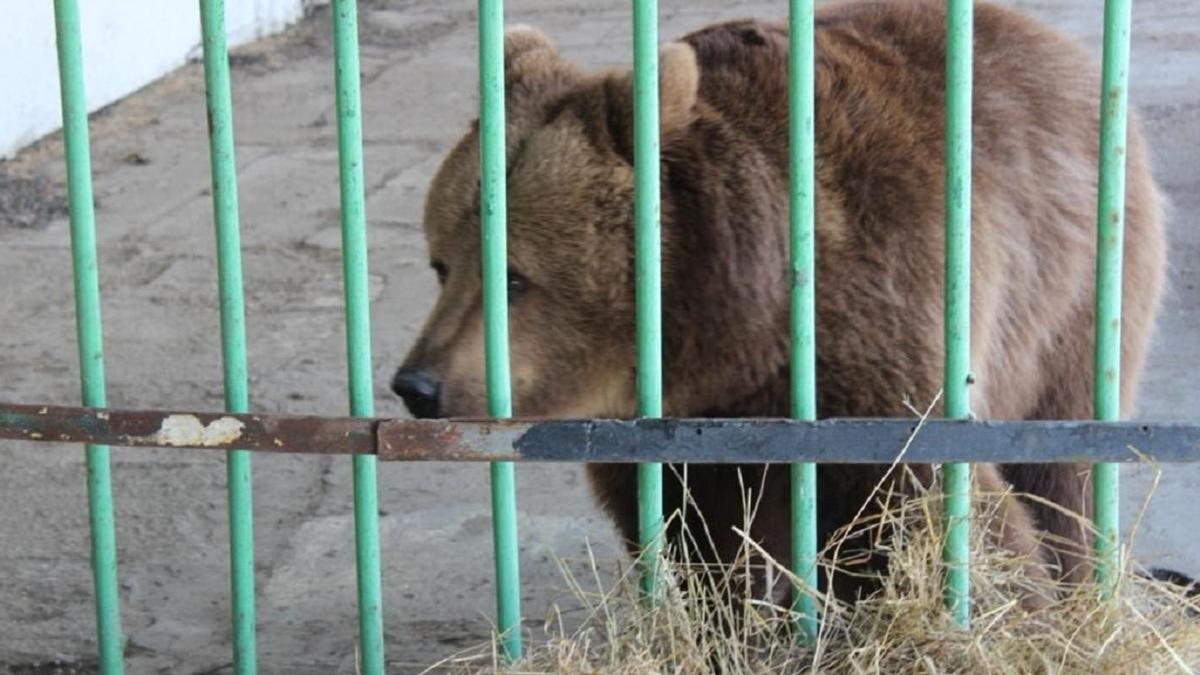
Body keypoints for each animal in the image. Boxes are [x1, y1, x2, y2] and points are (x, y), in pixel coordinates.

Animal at [391, 0, 1161, 605]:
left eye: (515, 276)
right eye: (442, 263)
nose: (417, 385)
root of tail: (1046, 39)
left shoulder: (875, 335)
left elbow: (926, 497)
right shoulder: (671, 434)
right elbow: (694, 540)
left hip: (1073, 289)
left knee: (1061, 464)